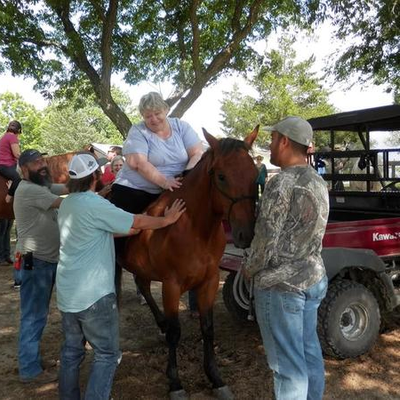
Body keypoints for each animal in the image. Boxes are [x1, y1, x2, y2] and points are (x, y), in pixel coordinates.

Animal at [118, 128, 260, 400]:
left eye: (255, 175)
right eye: (221, 177)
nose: (245, 234)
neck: (192, 227)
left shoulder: (209, 281)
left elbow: (208, 328)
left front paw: (215, 378)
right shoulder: (171, 286)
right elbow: (176, 332)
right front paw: (175, 383)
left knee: (142, 285)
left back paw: (160, 323)